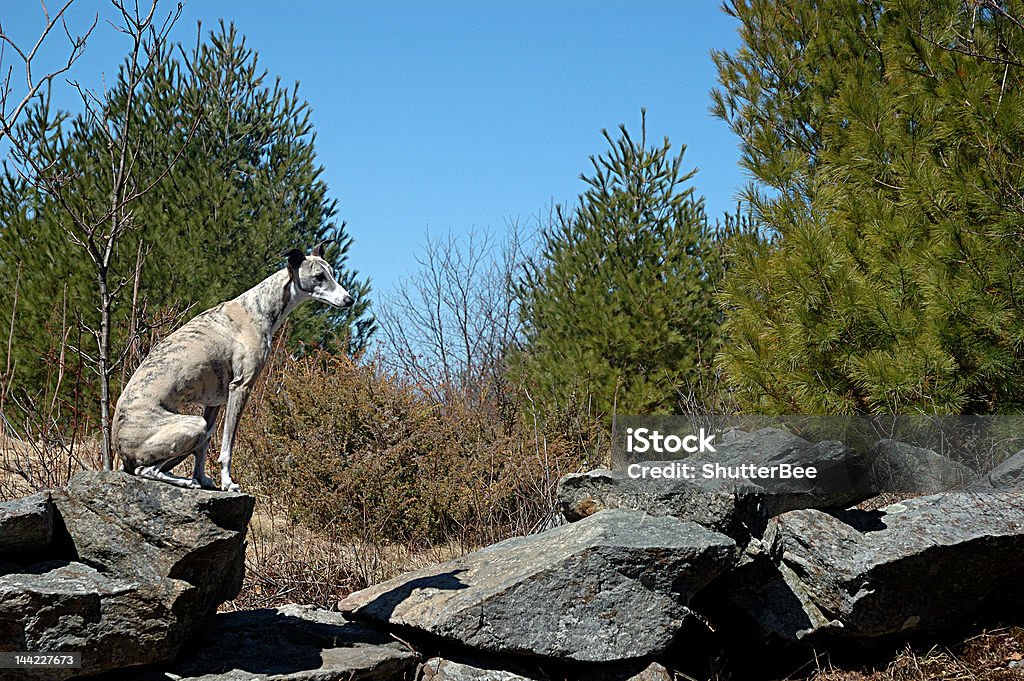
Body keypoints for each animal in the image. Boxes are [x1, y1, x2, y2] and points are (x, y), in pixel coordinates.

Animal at [113, 242, 354, 489]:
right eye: (319, 277)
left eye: (332, 273)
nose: (349, 300)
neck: (258, 308)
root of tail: (120, 449)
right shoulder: (241, 387)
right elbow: (228, 445)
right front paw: (228, 482)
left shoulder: (213, 403)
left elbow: (203, 450)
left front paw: (203, 477)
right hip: (193, 425)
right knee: (146, 469)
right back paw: (184, 481)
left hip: (199, 426)